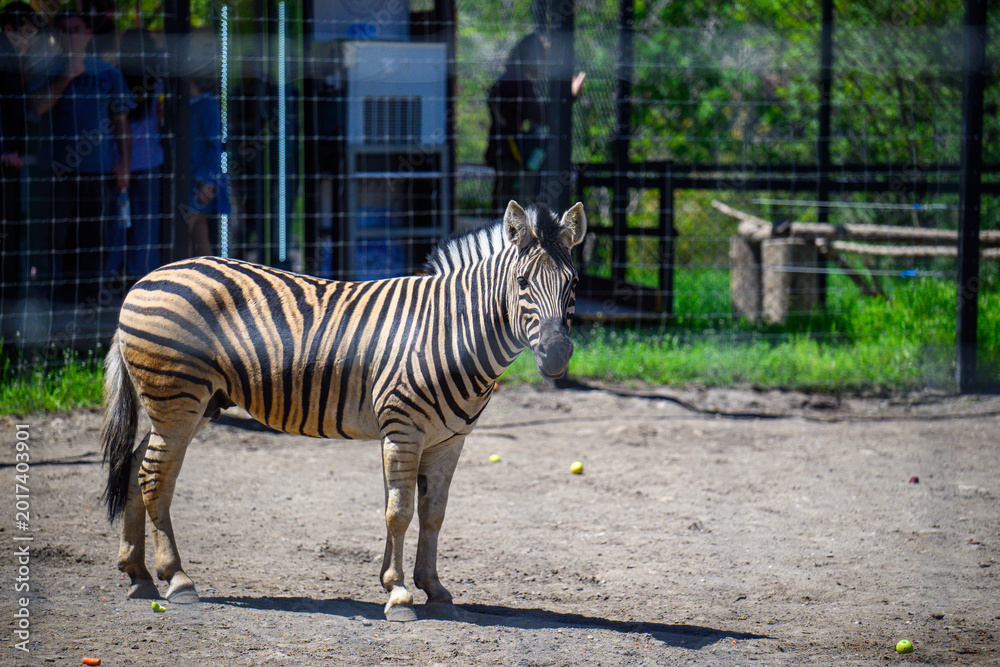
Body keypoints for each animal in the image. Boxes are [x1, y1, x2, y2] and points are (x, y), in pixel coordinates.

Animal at [101, 200, 586, 621]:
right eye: (522, 282)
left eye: (574, 284)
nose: (556, 355)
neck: (450, 332)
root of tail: (147, 277)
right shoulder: (403, 430)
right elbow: (399, 512)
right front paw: (399, 595)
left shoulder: (447, 441)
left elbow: (432, 513)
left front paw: (433, 589)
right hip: (178, 400)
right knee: (155, 477)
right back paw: (178, 580)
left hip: (194, 405)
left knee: (136, 466)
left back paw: (139, 575)